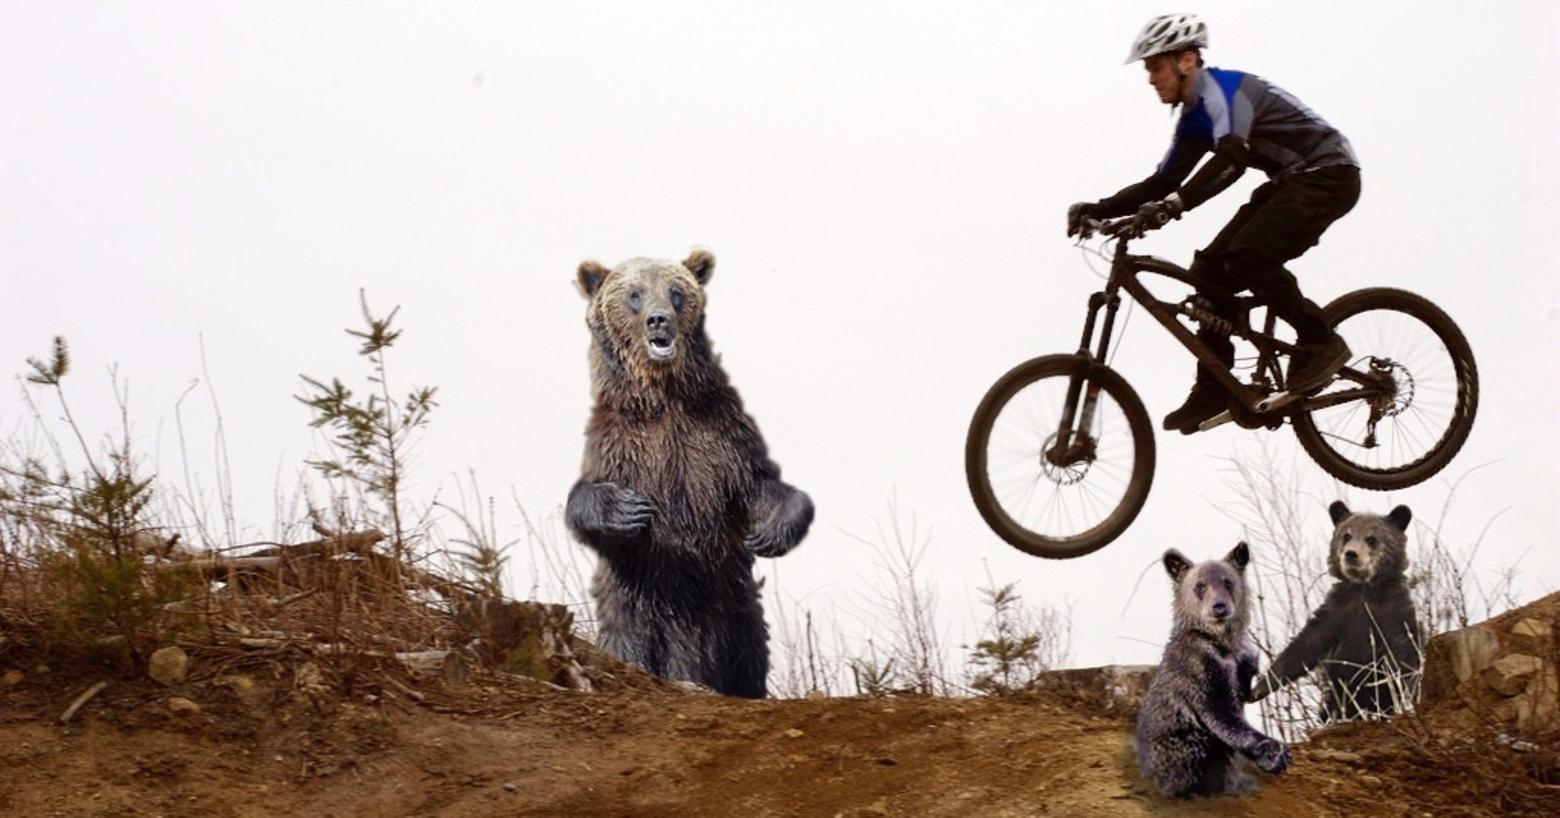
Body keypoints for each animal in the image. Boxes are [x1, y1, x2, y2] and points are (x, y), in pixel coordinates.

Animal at [570, 248, 817, 696]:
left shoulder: (719, 437)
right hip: (637, 610)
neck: (665, 396)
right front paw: (629, 510)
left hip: (736, 612)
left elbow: (761, 484)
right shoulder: (621, 444)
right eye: (634, 294)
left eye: (675, 291)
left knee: (748, 656)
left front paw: (770, 532)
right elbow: (583, 499)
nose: (658, 320)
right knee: (631, 642)